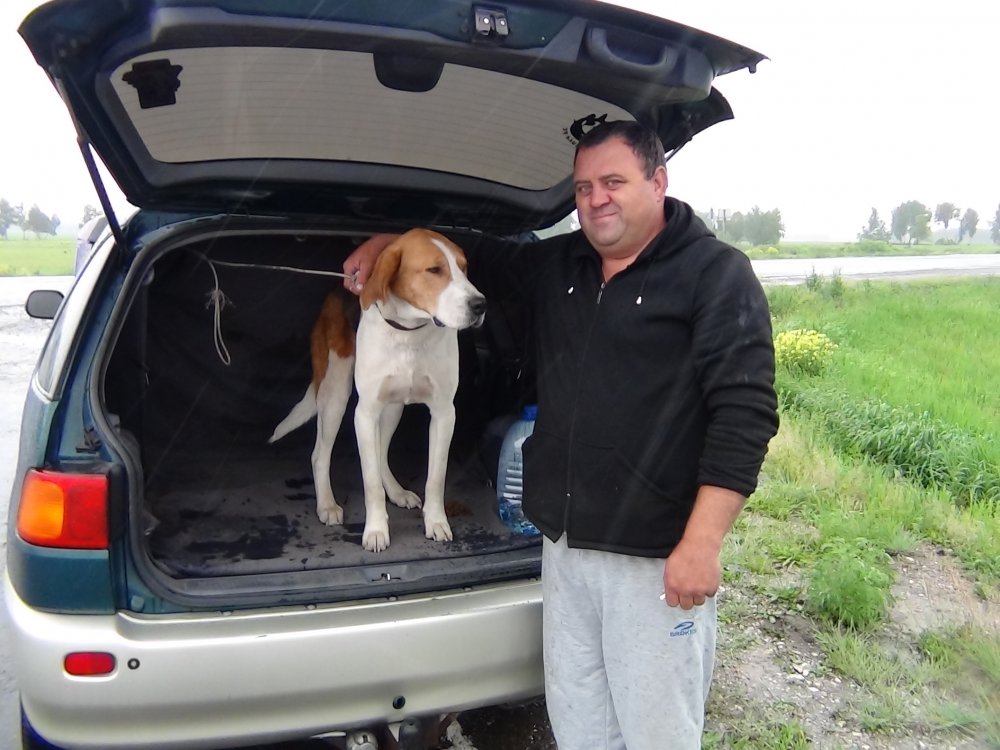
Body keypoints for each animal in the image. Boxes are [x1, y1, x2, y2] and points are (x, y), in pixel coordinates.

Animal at [269, 229, 486, 552]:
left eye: (464, 268)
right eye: (434, 270)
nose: (480, 304)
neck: (409, 331)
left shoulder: (444, 413)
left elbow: (436, 477)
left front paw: (436, 522)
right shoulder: (365, 413)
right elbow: (370, 483)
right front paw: (375, 530)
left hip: (393, 407)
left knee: (381, 452)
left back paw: (396, 492)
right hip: (335, 394)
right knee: (320, 455)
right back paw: (327, 505)